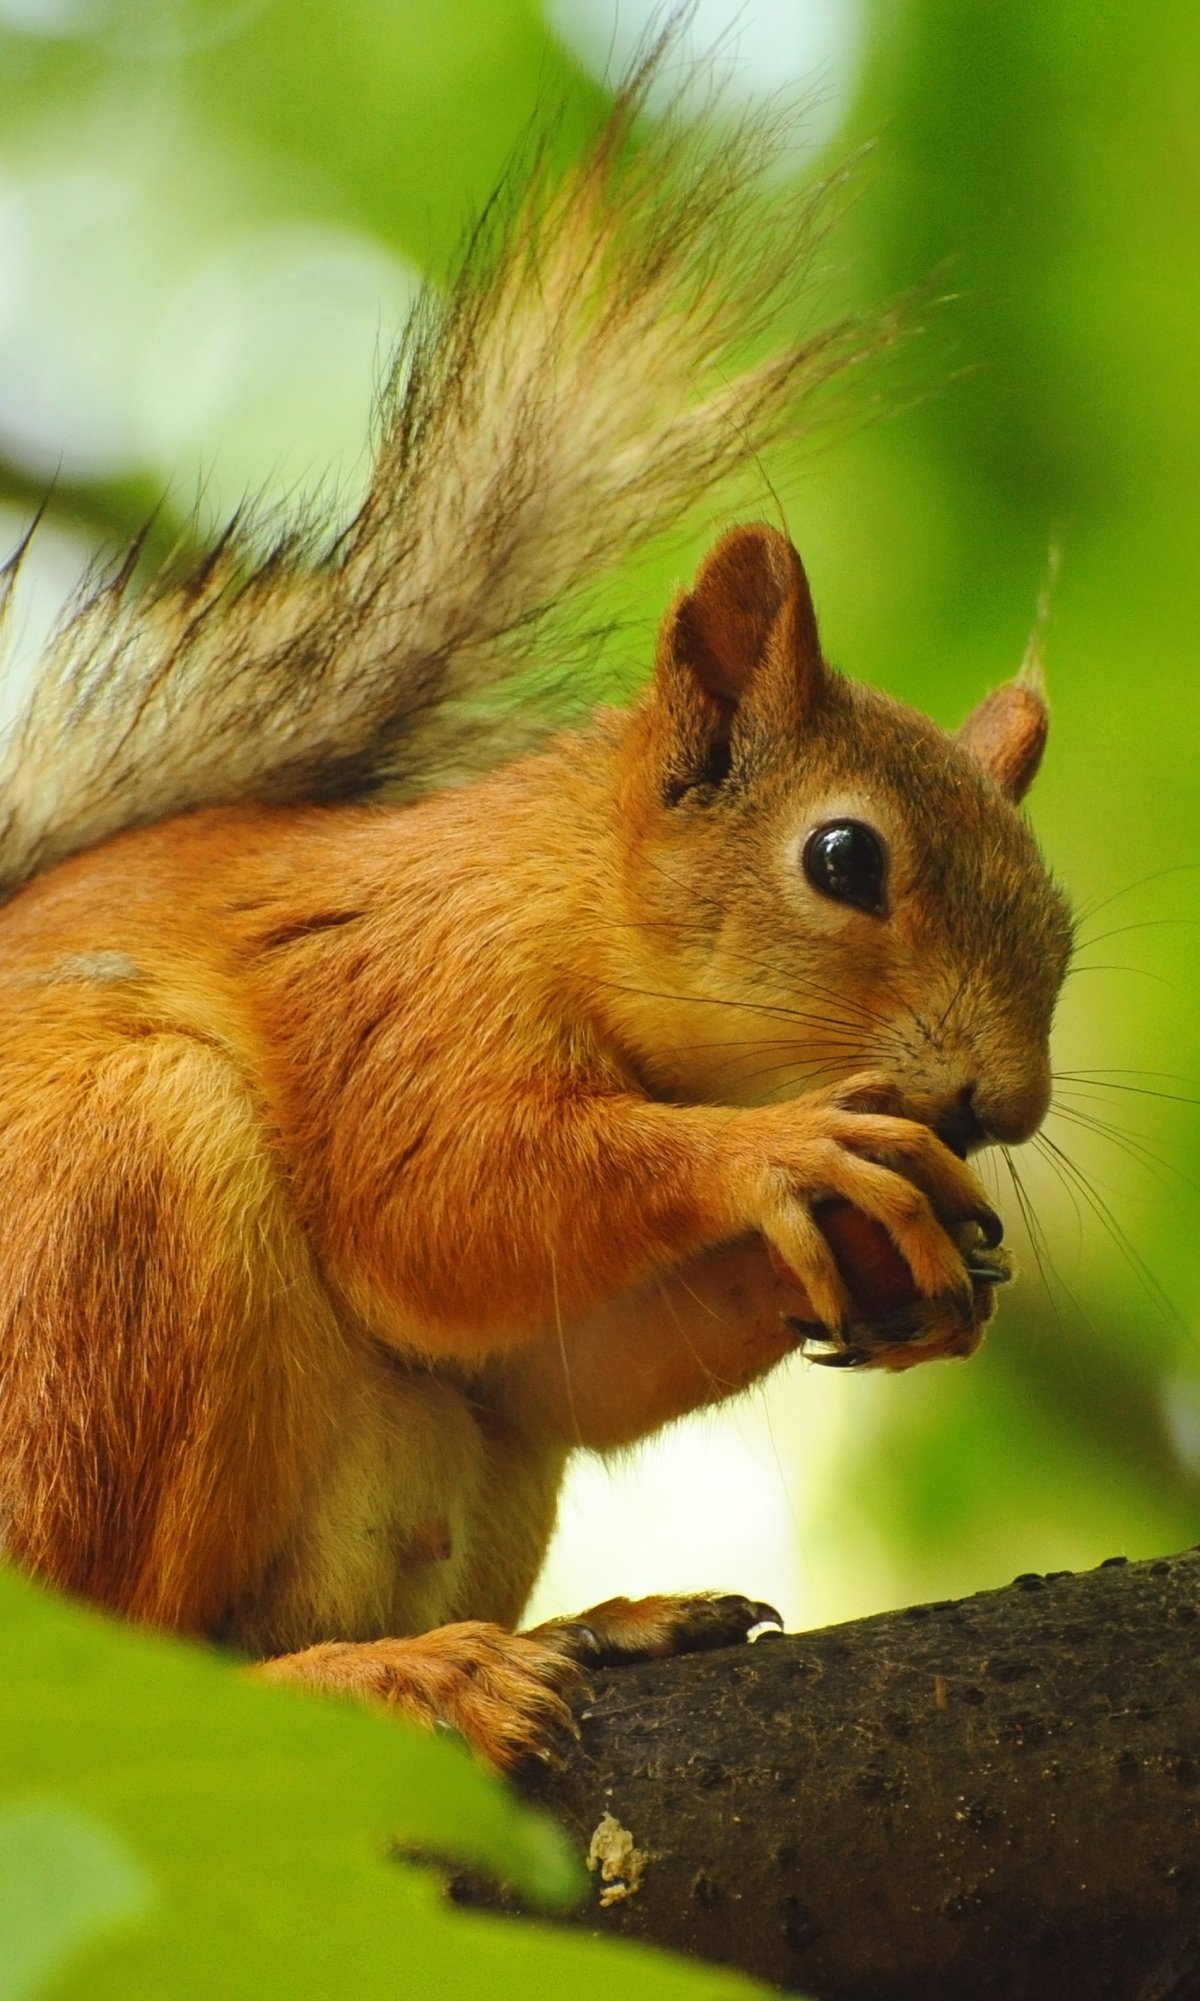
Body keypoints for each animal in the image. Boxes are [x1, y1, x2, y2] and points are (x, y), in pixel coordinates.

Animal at [0, 48, 1072, 1770]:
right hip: (117, 1213)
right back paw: (384, 1676)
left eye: (1062, 921)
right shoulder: (404, 984)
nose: (1004, 1105)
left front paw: (917, 1265)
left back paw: (598, 1625)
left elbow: (559, 1356)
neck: (564, 896)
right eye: (846, 861)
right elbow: (440, 1198)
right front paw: (785, 1153)